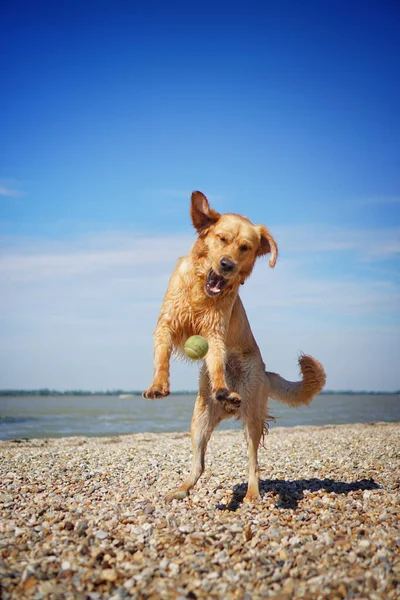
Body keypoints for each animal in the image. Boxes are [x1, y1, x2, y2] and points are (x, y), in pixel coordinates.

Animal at [143, 191, 324, 502]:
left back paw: (252, 493)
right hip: (199, 420)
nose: (227, 264)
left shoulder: (215, 332)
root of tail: (266, 373)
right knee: (199, 464)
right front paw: (158, 385)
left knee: (253, 461)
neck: (201, 290)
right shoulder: (166, 324)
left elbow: (217, 362)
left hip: (252, 412)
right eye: (222, 238)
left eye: (245, 247)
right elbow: (161, 356)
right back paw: (180, 490)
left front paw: (221, 386)